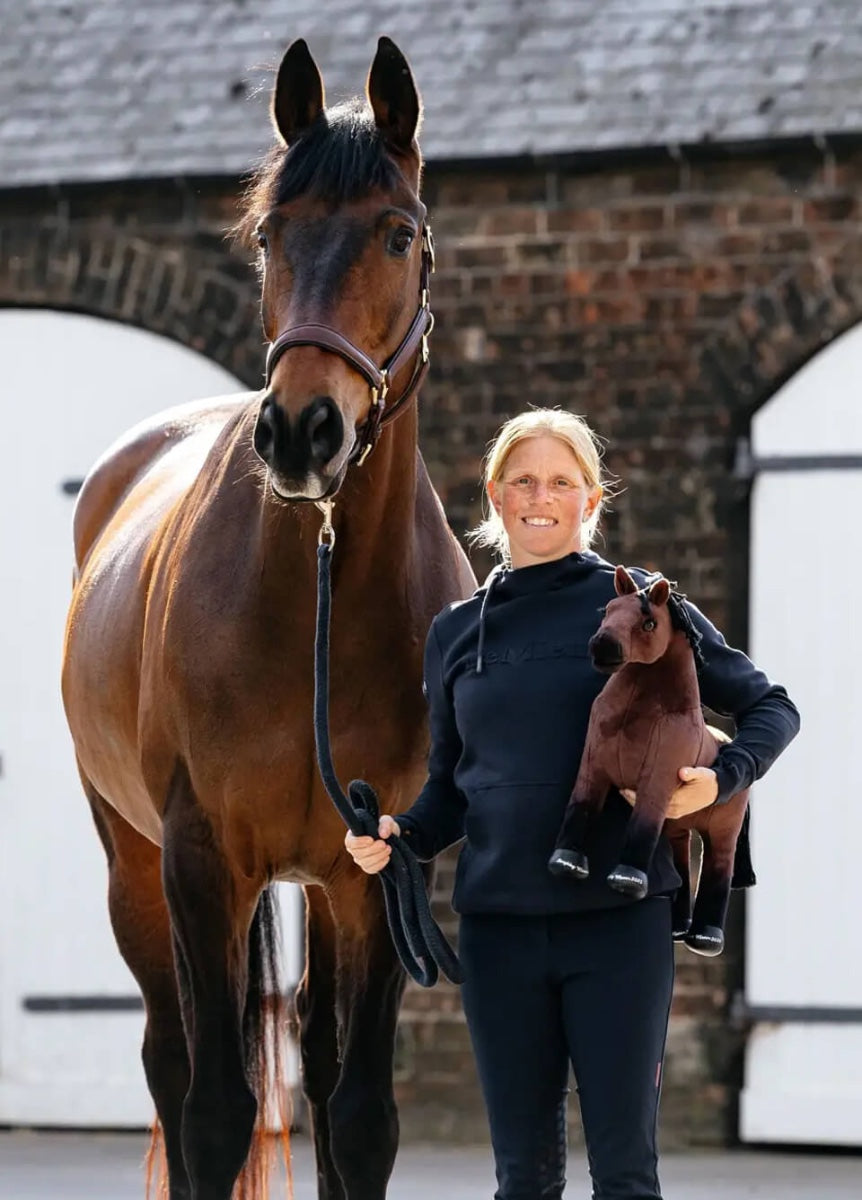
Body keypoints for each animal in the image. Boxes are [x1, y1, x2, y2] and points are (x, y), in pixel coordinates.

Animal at [61, 36, 475, 1200]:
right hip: (134, 869)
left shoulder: (379, 872)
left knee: (321, 1078)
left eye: (398, 231)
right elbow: (213, 1113)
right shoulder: (202, 863)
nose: (300, 432)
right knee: (170, 1065)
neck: (318, 604)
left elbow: (360, 1118)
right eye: (268, 235)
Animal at [548, 566, 750, 956]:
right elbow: (581, 806)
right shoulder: (593, 767)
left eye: (649, 623)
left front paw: (627, 879)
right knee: (681, 860)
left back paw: (705, 937)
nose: (603, 646)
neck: (640, 713)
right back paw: (678, 927)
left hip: (722, 831)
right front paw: (565, 862)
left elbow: (642, 824)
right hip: (679, 827)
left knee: (719, 869)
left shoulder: (655, 782)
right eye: (608, 609)